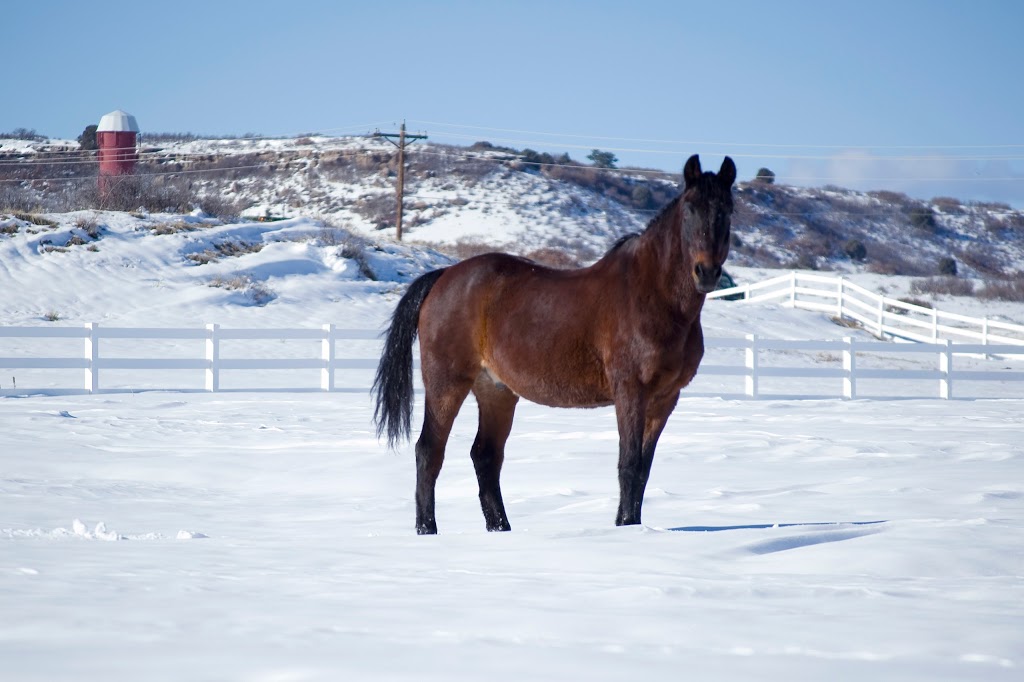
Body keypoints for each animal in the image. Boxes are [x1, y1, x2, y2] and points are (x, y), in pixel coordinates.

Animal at [376, 152, 737, 532]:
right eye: (690, 208)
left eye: (727, 210)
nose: (707, 272)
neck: (653, 295)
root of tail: (444, 276)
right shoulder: (631, 391)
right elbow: (629, 465)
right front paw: (626, 528)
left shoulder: (665, 398)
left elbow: (643, 470)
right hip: (446, 383)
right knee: (430, 451)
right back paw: (427, 530)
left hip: (496, 391)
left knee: (485, 456)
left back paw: (501, 529)